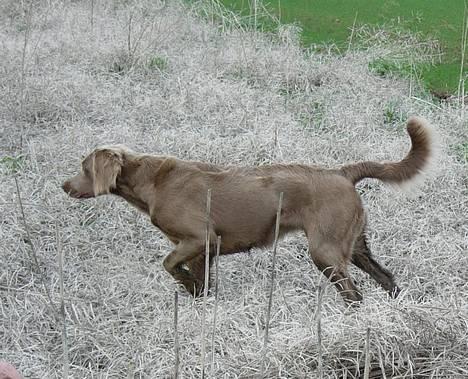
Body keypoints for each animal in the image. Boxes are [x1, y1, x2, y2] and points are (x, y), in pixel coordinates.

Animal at [63, 117, 436, 304]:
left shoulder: (199, 237)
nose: (64, 186)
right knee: (386, 278)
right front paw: (197, 297)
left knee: (354, 294)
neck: (153, 182)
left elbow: (168, 263)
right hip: (355, 245)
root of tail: (343, 172)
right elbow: (199, 281)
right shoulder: (203, 250)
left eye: (84, 167)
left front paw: (185, 283)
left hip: (325, 251)